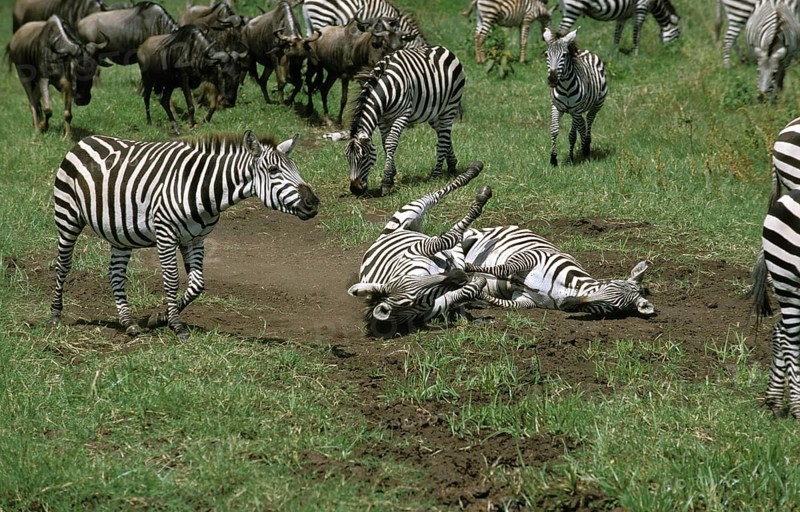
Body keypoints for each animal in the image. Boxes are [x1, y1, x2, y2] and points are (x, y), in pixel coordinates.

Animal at [50, 131, 320, 340]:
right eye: (273, 170)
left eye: (296, 169)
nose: (313, 203)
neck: (204, 189)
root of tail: (85, 139)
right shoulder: (165, 233)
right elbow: (171, 279)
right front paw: (177, 326)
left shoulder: (196, 239)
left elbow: (197, 284)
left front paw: (160, 318)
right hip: (67, 217)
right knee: (63, 265)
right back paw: (55, 315)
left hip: (119, 233)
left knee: (115, 274)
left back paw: (129, 323)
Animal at [345, 44, 466, 196]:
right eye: (347, 158)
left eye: (364, 156)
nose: (355, 190)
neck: (386, 88)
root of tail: (444, 49)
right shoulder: (382, 119)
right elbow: (385, 143)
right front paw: (392, 175)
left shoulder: (402, 115)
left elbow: (391, 143)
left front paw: (386, 182)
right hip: (434, 113)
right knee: (444, 134)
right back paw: (451, 165)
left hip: (450, 106)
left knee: (443, 139)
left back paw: (435, 175)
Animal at [463, 226, 655, 316]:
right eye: (608, 285)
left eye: (611, 307)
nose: (566, 302)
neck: (560, 289)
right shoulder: (532, 256)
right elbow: (502, 269)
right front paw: (467, 268)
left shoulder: (524, 300)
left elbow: (501, 302)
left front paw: (476, 294)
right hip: (471, 236)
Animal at [544, 27, 607, 167]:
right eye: (546, 55)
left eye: (564, 55)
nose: (552, 80)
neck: (565, 86)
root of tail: (585, 51)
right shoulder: (556, 107)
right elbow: (554, 130)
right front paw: (553, 159)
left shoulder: (577, 109)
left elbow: (572, 135)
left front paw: (570, 159)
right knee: (582, 124)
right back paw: (584, 148)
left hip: (597, 104)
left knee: (589, 119)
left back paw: (587, 148)